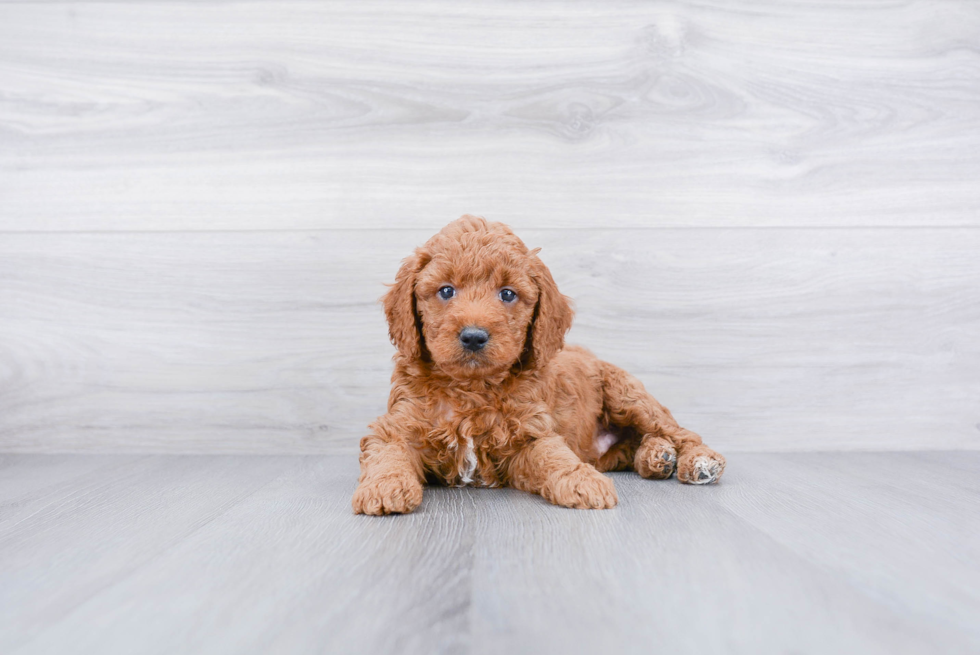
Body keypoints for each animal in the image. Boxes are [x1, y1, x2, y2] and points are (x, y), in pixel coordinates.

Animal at [356, 214, 724, 512]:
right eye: (446, 291)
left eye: (507, 294)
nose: (473, 336)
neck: (472, 388)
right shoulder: (398, 425)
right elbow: (388, 453)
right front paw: (384, 487)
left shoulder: (531, 432)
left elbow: (553, 455)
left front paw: (583, 481)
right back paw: (656, 457)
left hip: (628, 396)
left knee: (677, 431)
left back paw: (697, 460)